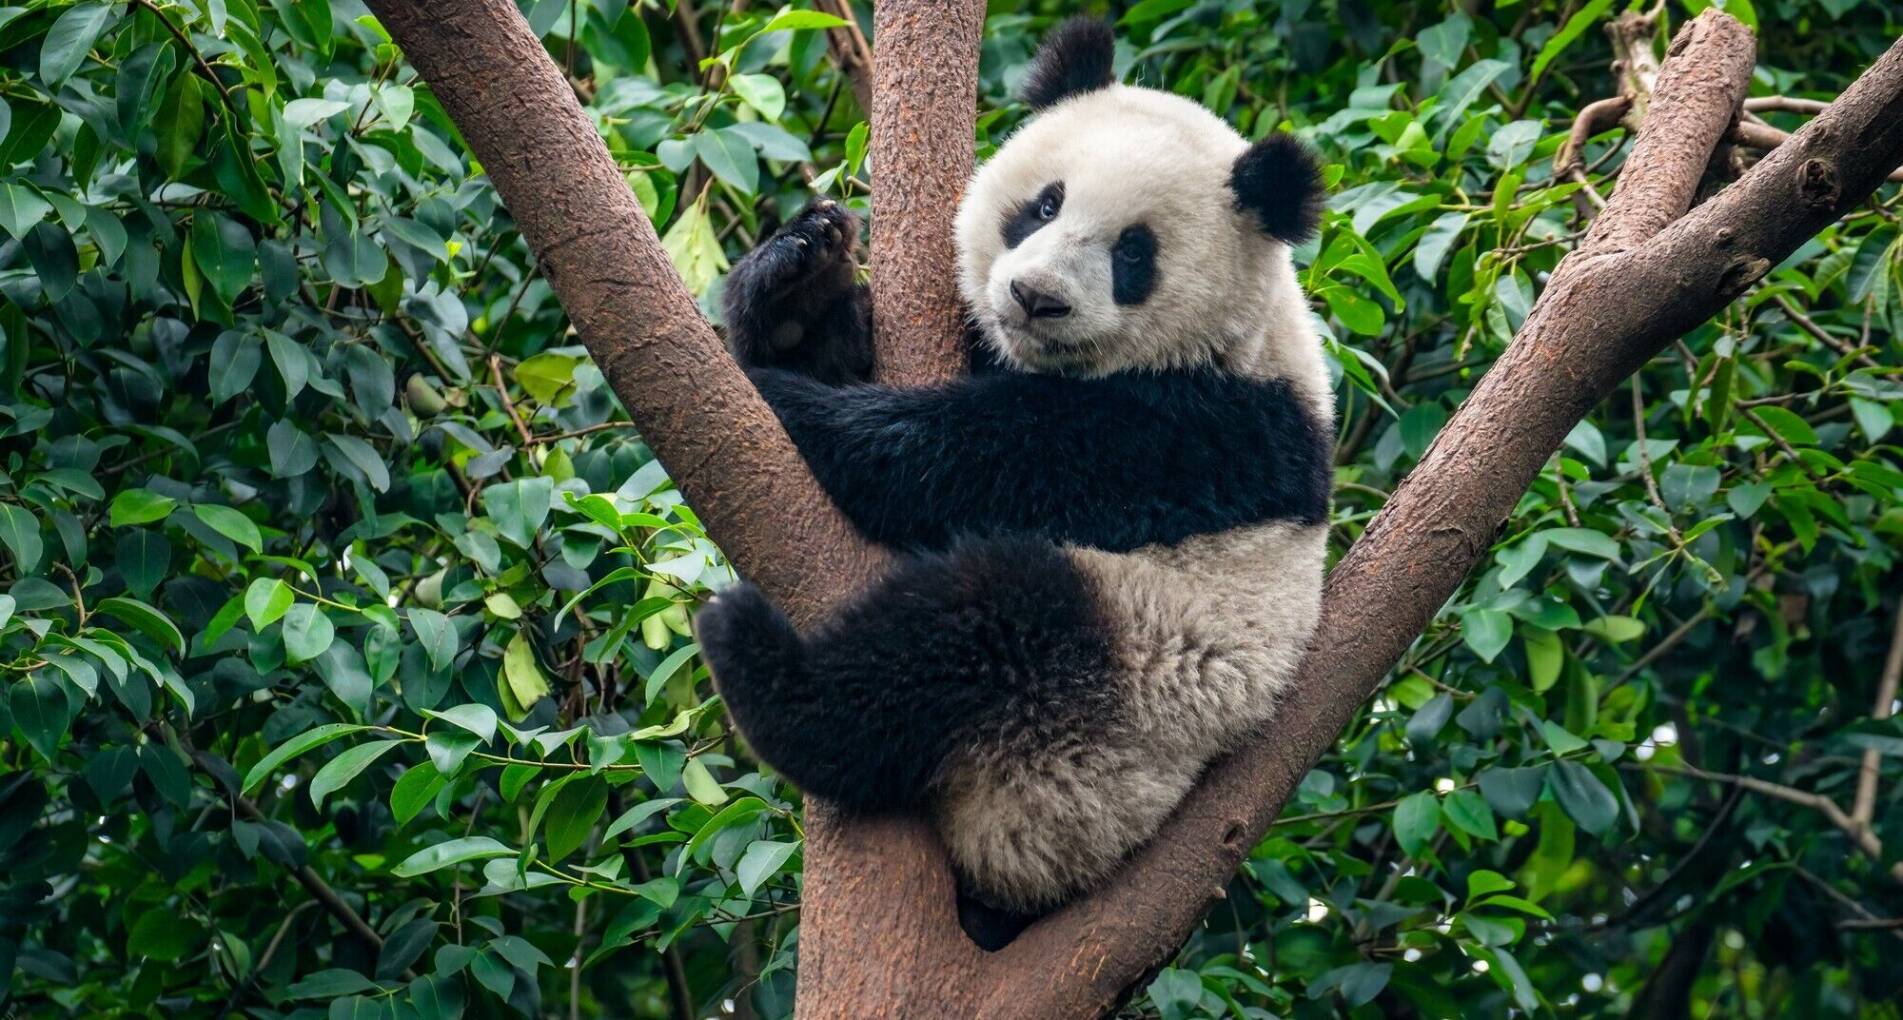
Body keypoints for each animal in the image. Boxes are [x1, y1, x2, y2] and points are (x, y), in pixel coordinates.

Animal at [694, 18, 1334, 948]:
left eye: (1133, 252)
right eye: (1044, 204)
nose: (1035, 298)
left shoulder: (1211, 428)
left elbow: (983, 461)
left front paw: (795, 406)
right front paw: (796, 284)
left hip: (1116, 707)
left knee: (985, 619)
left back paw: (765, 670)